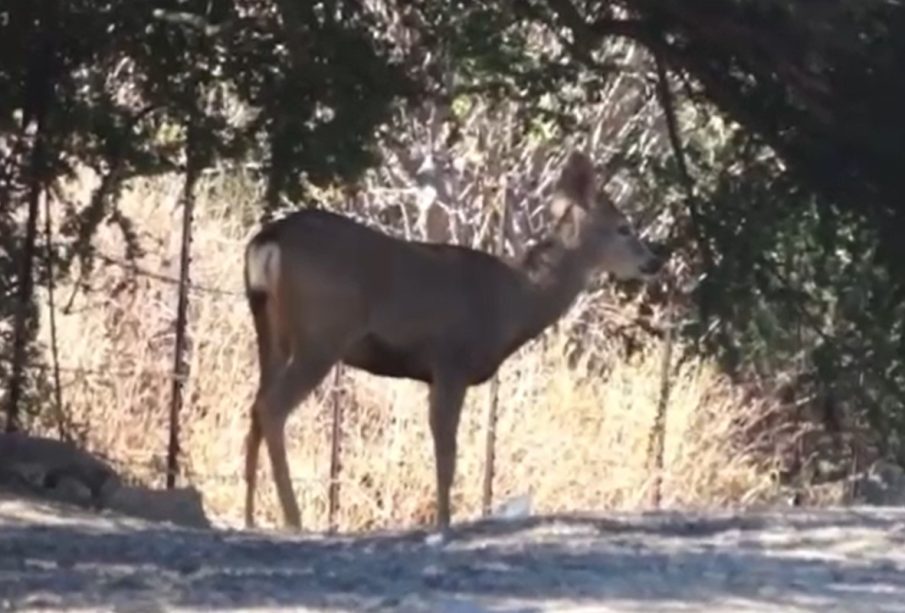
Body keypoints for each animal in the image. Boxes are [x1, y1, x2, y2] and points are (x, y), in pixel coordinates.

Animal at [244, 151, 660, 532]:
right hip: (322, 333)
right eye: (623, 227)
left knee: (256, 405)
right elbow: (447, 453)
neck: (514, 303)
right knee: (272, 407)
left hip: (269, 326)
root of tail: (269, 239)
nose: (653, 262)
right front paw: (444, 522)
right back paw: (294, 519)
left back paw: (249, 517)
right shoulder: (451, 362)